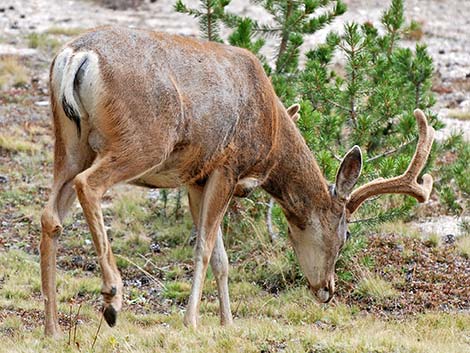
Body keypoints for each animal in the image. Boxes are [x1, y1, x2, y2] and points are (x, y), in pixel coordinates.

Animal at [40, 26, 434, 334]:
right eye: (346, 234)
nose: (328, 290)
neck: (271, 138)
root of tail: (77, 55)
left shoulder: (195, 177)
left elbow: (221, 257)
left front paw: (227, 322)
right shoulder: (226, 166)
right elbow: (203, 248)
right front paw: (192, 322)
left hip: (69, 144)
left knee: (50, 215)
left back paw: (54, 328)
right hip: (141, 140)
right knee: (89, 185)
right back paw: (112, 298)